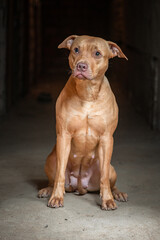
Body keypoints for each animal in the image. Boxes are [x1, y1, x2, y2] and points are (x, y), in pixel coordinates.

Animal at [38, 34, 128, 210]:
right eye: (76, 50)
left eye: (97, 54)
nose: (81, 66)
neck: (87, 93)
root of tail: (79, 185)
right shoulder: (64, 135)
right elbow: (59, 175)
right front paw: (56, 197)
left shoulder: (107, 138)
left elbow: (104, 179)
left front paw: (107, 200)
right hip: (50, 160)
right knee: (54, 178)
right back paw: (47, 190)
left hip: (111, 168)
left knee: (110, 181)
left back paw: (117, 193)